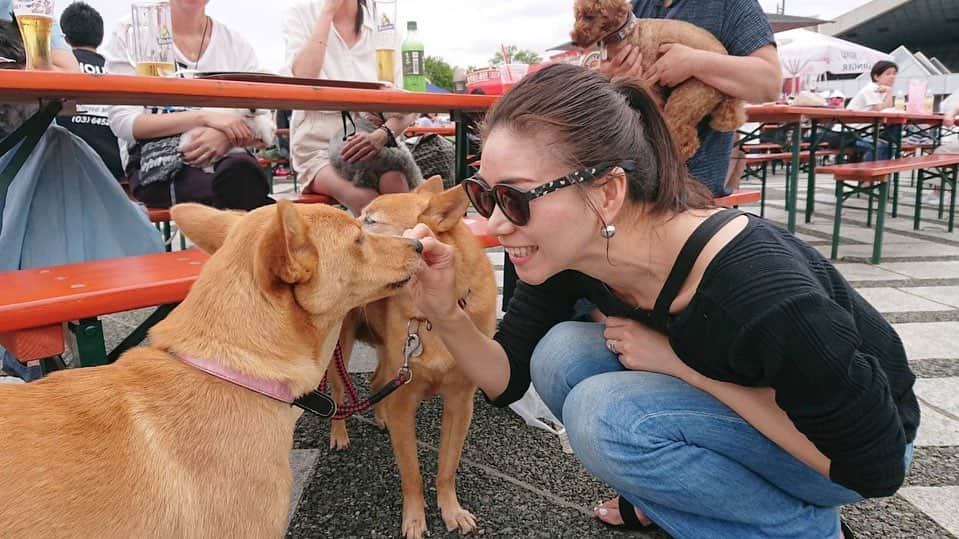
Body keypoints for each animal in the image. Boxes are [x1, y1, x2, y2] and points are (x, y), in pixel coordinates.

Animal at [328, 179, 496, 539]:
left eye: (371, 221)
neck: (433, 317)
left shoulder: (460, 403)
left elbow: (447, 467)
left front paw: (451, 510)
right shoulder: (405, 404)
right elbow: (412, 474)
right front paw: (415, 519)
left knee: (377, 381)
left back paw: (380, 417)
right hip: (341, 350)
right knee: (338, 395)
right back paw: (339, 434)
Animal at [568, 0, 752, 160]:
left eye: (589, 16)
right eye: (577, 16)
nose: (574, 40)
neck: (626, 33)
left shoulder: (646, 80)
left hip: (688, 97)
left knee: (684, 138)